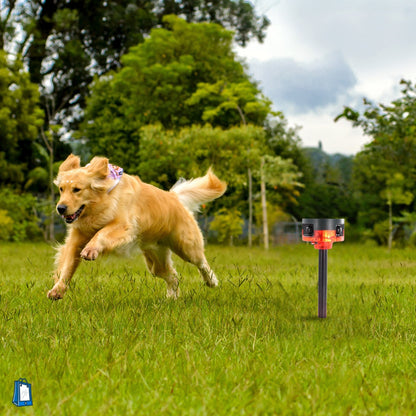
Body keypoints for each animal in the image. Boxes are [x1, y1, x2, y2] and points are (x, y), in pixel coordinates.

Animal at [47, 154, 226, 300]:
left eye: (77, 190)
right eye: (61, 189)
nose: (60, 208)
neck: (101, 202)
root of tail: (174, 196)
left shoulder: (124, 225)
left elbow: (102, 233)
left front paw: (91, 249)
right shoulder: (77, 239)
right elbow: (67, 266)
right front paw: (58, 290)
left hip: (186, 246)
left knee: (201, 262)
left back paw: (211, 281)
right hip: (155, 260)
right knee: (172, 276)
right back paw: (171, 297)